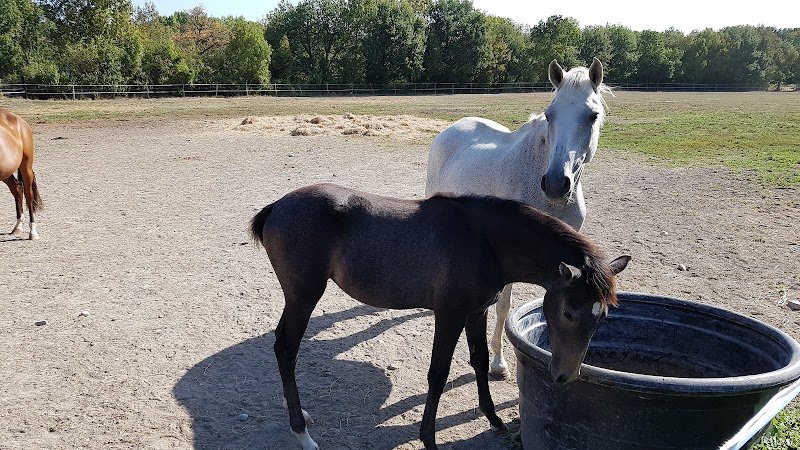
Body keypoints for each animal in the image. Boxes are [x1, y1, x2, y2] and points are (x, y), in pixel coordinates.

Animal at [0, 109, 42, 240]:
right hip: (5, 171)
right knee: (17, 188)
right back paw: (18, 226)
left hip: (26, 166)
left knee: (28, 195)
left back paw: (33, 232)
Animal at [250, 183, 629, 450]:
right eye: (568, 312)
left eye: (603, 317)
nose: (565, 376)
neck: (484, 241)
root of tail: (277, 207)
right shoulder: (449, 315)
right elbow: (438, 374)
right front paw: (428, 438)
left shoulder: (476, 312)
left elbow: (479, 361)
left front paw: (494, 419)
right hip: (303, 296)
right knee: (286, 349)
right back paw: (301, 433)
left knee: (282, 347)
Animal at [425, 58, 611, 378]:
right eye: (550, 114)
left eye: (593, 115)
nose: (555, 183)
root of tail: (454, 127)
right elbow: (503, 305)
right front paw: (499, 364)